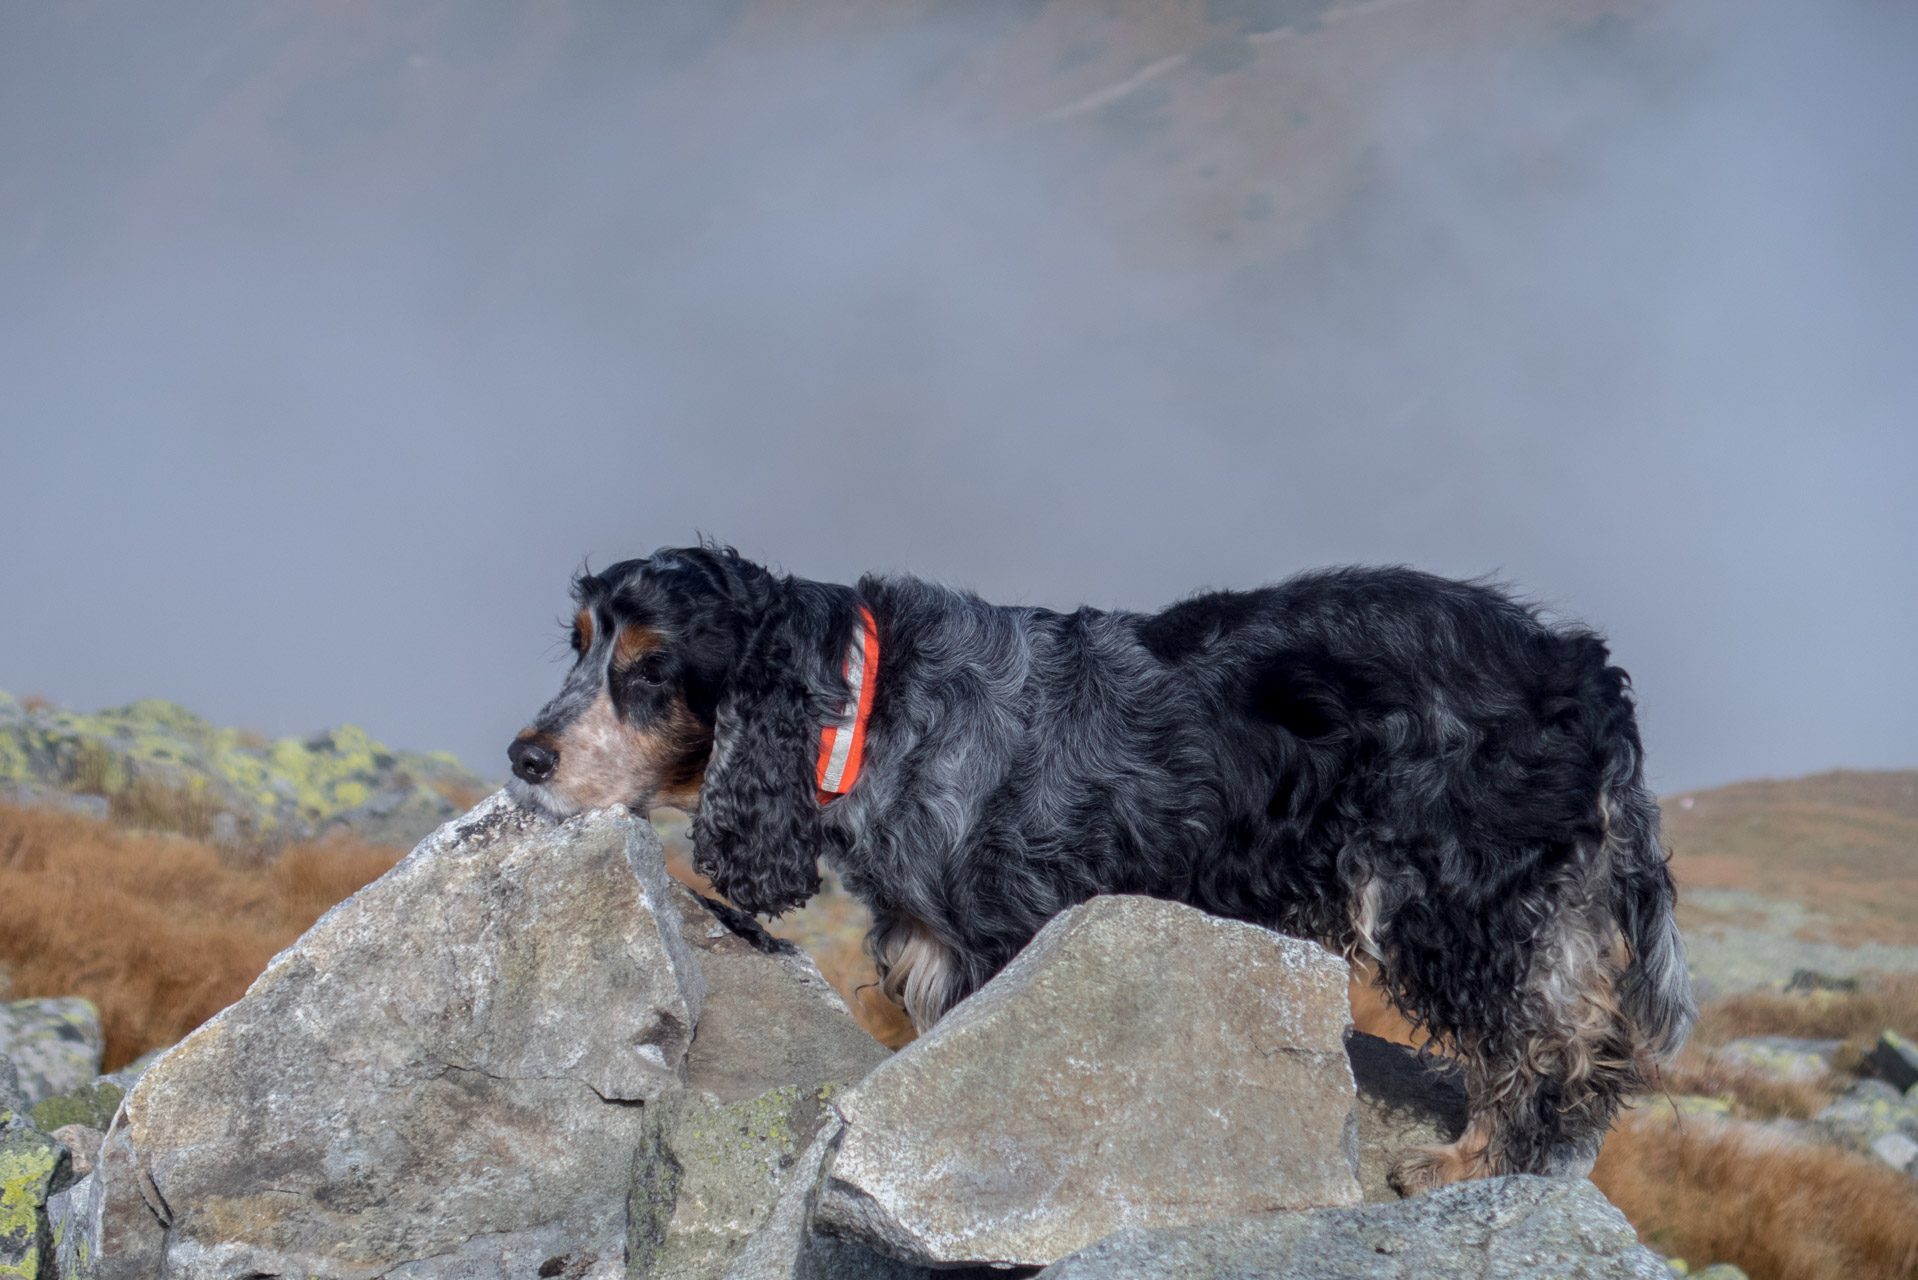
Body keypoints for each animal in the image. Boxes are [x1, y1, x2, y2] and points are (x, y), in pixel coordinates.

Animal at [510, 541, 1695, 1189]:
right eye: (576, 642)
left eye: (650, 667)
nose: (525, 756)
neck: (864, 705)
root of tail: (1579, 665)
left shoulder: (1005, 937)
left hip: (1454, 883)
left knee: (1548, 1038)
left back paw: (1475, 1160)